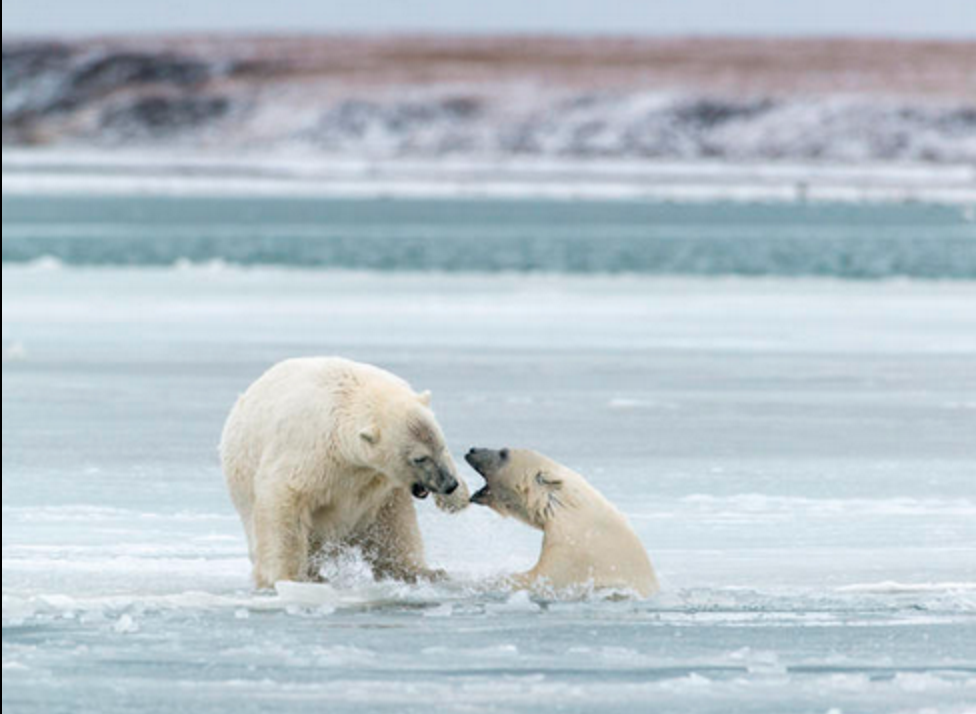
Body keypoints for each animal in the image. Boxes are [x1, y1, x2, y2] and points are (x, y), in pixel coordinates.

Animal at [220, 357, 469, 589]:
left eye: (442, 446)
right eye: (419, 458)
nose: (449, 484)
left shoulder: (372, 474)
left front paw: (458, 499)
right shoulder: (311, 451)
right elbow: (283, 498)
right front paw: (287, 578)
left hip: (378, 504)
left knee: (393, 529)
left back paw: (422, 571)